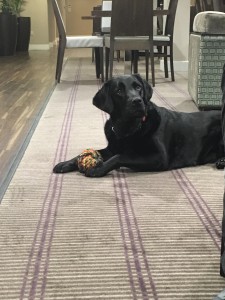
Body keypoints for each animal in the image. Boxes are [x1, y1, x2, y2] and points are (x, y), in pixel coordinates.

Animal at [53, 74, 224, 177]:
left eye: (138, 87)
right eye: (119, 90)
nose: (137, 101)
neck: (128, 129)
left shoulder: (159, 157)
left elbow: (120, 156)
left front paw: (97, 168)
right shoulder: (112, 148)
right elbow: (90, 152)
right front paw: (65, 163)